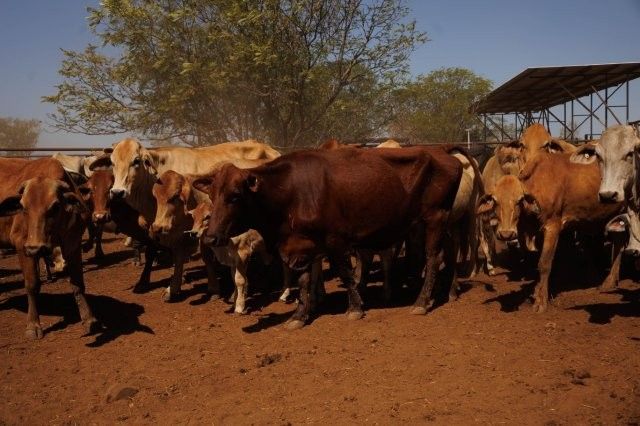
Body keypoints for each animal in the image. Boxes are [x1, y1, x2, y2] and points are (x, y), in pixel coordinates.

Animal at [0, 157, 97, 339]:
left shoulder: (73, 244)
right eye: (23, 207)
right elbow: (32, 285)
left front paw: (89, 319)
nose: (35, 248)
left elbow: (78, 284)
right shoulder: (22, 245)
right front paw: (33, 325)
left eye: (55, 206)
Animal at [194, 145, 462, 329]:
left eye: (235, 195)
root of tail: (442, 152)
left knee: (433, 257)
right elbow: (303, 280)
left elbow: (344, 272)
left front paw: (354, 308)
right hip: (442, 221)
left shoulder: (336, 240)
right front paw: (299, 316)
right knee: (450, 251)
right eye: (212, 194)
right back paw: (450, 291)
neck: (290, 192)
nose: (211, 238)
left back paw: (421, 302)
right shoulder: (300, 246)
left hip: (435, 217)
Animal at [477, 148, 623, 312]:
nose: (506, 233)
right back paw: (610, 281)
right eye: (495, 201)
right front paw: (536, 292)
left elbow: (544, 263)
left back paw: (608, 281)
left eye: (519, 200)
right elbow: (535, 262)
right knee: (619, 243)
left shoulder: (552, 226)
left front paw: (541, 301)